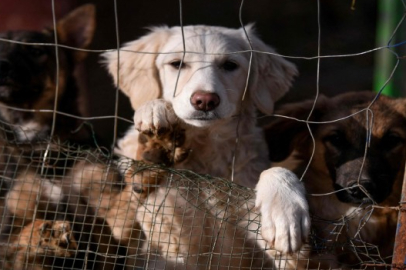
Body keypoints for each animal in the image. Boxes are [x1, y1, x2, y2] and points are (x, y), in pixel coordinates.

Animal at [103, 24, 310, 268]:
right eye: (177, 64)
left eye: (230, 65)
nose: (205, 101)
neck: (204, 151)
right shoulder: (154, 230)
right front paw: (154, 110)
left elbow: (276, 170)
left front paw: (285, 212)